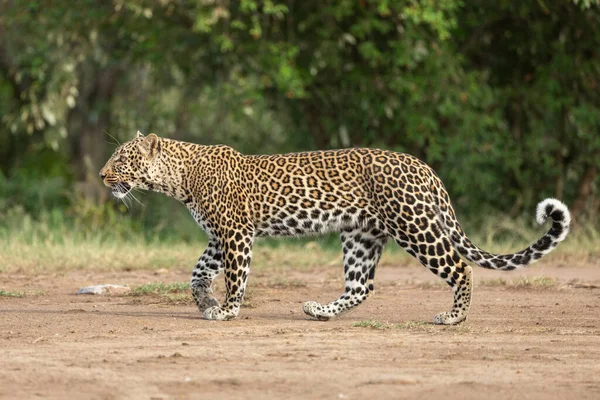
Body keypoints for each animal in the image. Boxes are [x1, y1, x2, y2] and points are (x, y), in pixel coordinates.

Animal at [101, 132, 568, 324]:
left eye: (121, 159)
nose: (103, 176)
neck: (178, 178)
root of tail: (424, 167)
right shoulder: (219, 237)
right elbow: (197, 274)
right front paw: (206, 302)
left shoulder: (235, 234)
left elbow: (237, 276)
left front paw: (228, 309)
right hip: (362, 235)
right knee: (361, 285)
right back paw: (320, 311)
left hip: (414, 226)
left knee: (461, 267)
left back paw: (454, 317)